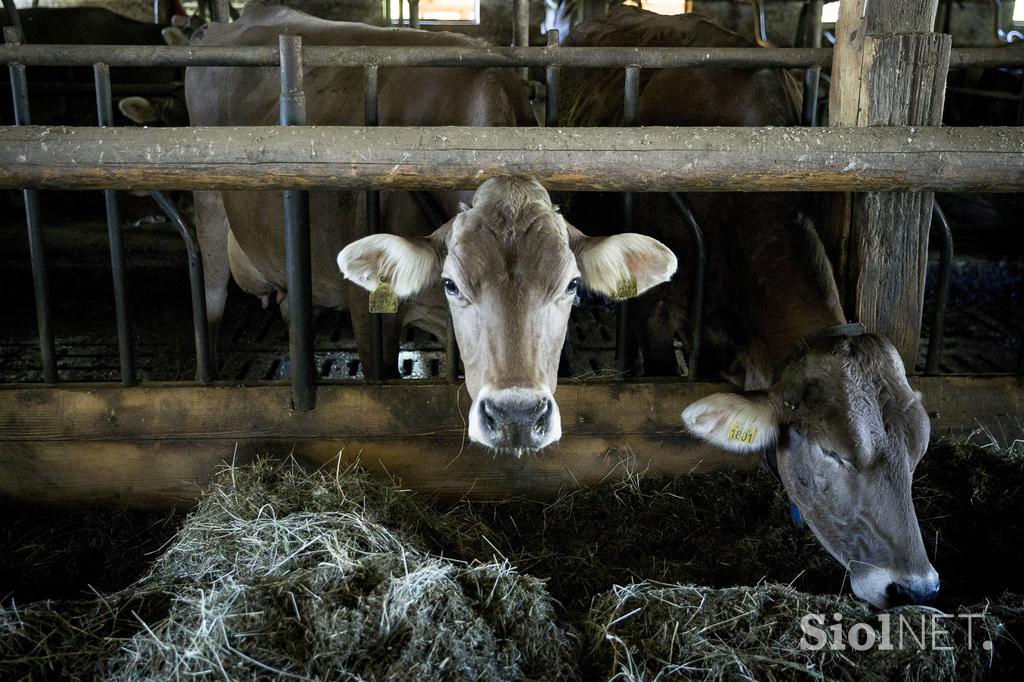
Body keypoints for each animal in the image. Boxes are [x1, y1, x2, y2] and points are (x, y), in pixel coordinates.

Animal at [184, 6, 679, 450]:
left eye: (572, 285)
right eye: (451, 283)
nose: (516, 417)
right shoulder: (369, 315)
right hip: (208, 207)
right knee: (210, 301)